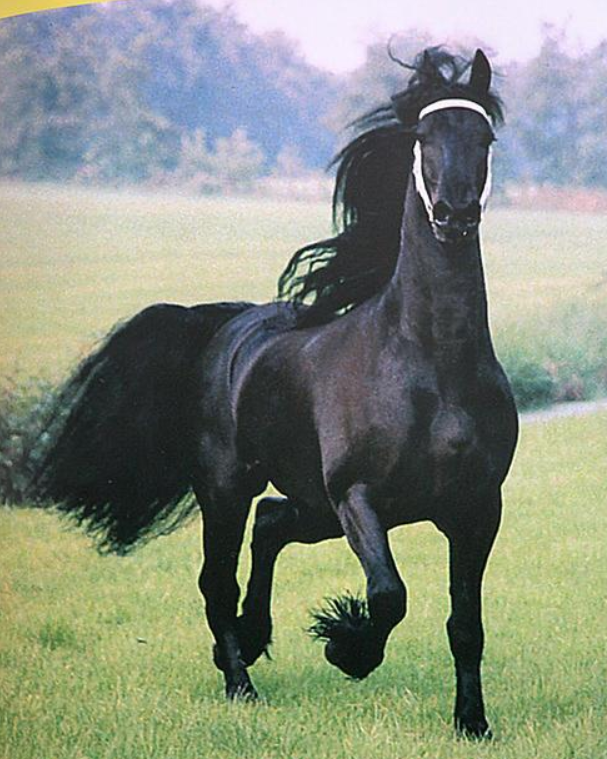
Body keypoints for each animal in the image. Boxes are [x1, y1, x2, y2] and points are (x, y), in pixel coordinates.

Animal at [32, 47, 518, 739]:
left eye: (485, 138)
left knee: (270, 526)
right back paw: (241, 682)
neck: (431, 363)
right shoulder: (358, 497)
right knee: (219, 579)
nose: (454, 215)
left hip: (311, 507)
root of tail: (228, 326)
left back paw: (251, 637)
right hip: (229, 489)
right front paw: (349, 649)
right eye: (423, 137)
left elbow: (465, 626)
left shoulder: (477, 508)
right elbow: (389, 596)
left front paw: (472, 723)